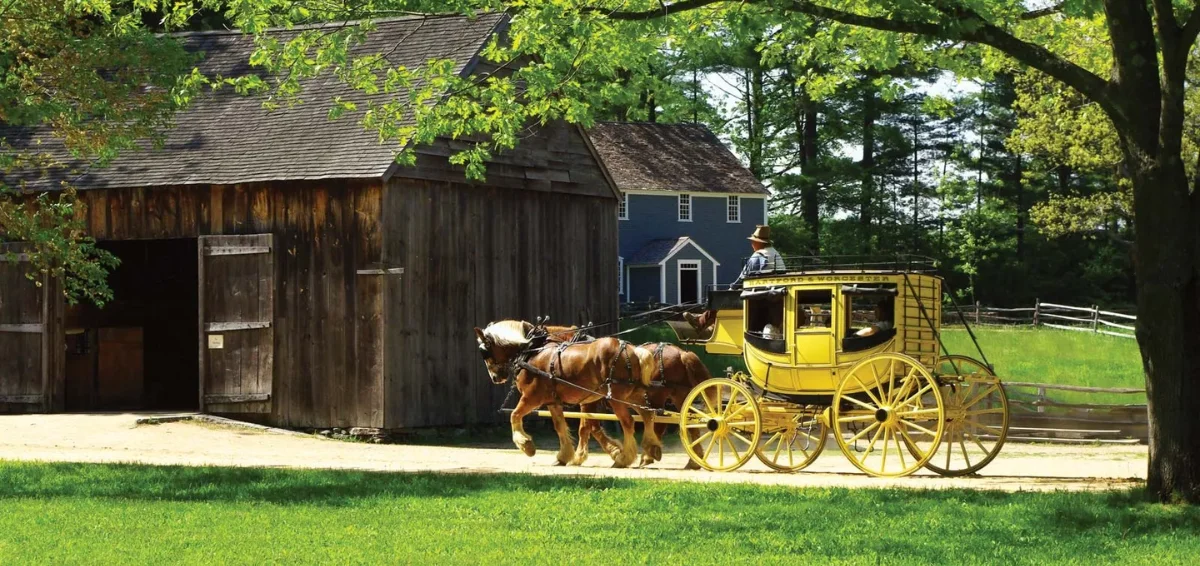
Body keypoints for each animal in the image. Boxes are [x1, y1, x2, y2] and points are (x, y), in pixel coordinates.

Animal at [472, 321, 662, 467]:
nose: (495, 377)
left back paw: (624, 458)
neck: (533, 350)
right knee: (647, 414)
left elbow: (515, 415)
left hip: (617, 398)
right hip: (632, 394)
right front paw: (565, 456)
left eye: (484, 351)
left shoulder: (531, 397)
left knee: (628, 422)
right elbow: (561, 425)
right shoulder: (554, 401)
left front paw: (526, 445)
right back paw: (651, 448)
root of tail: (633, 350)